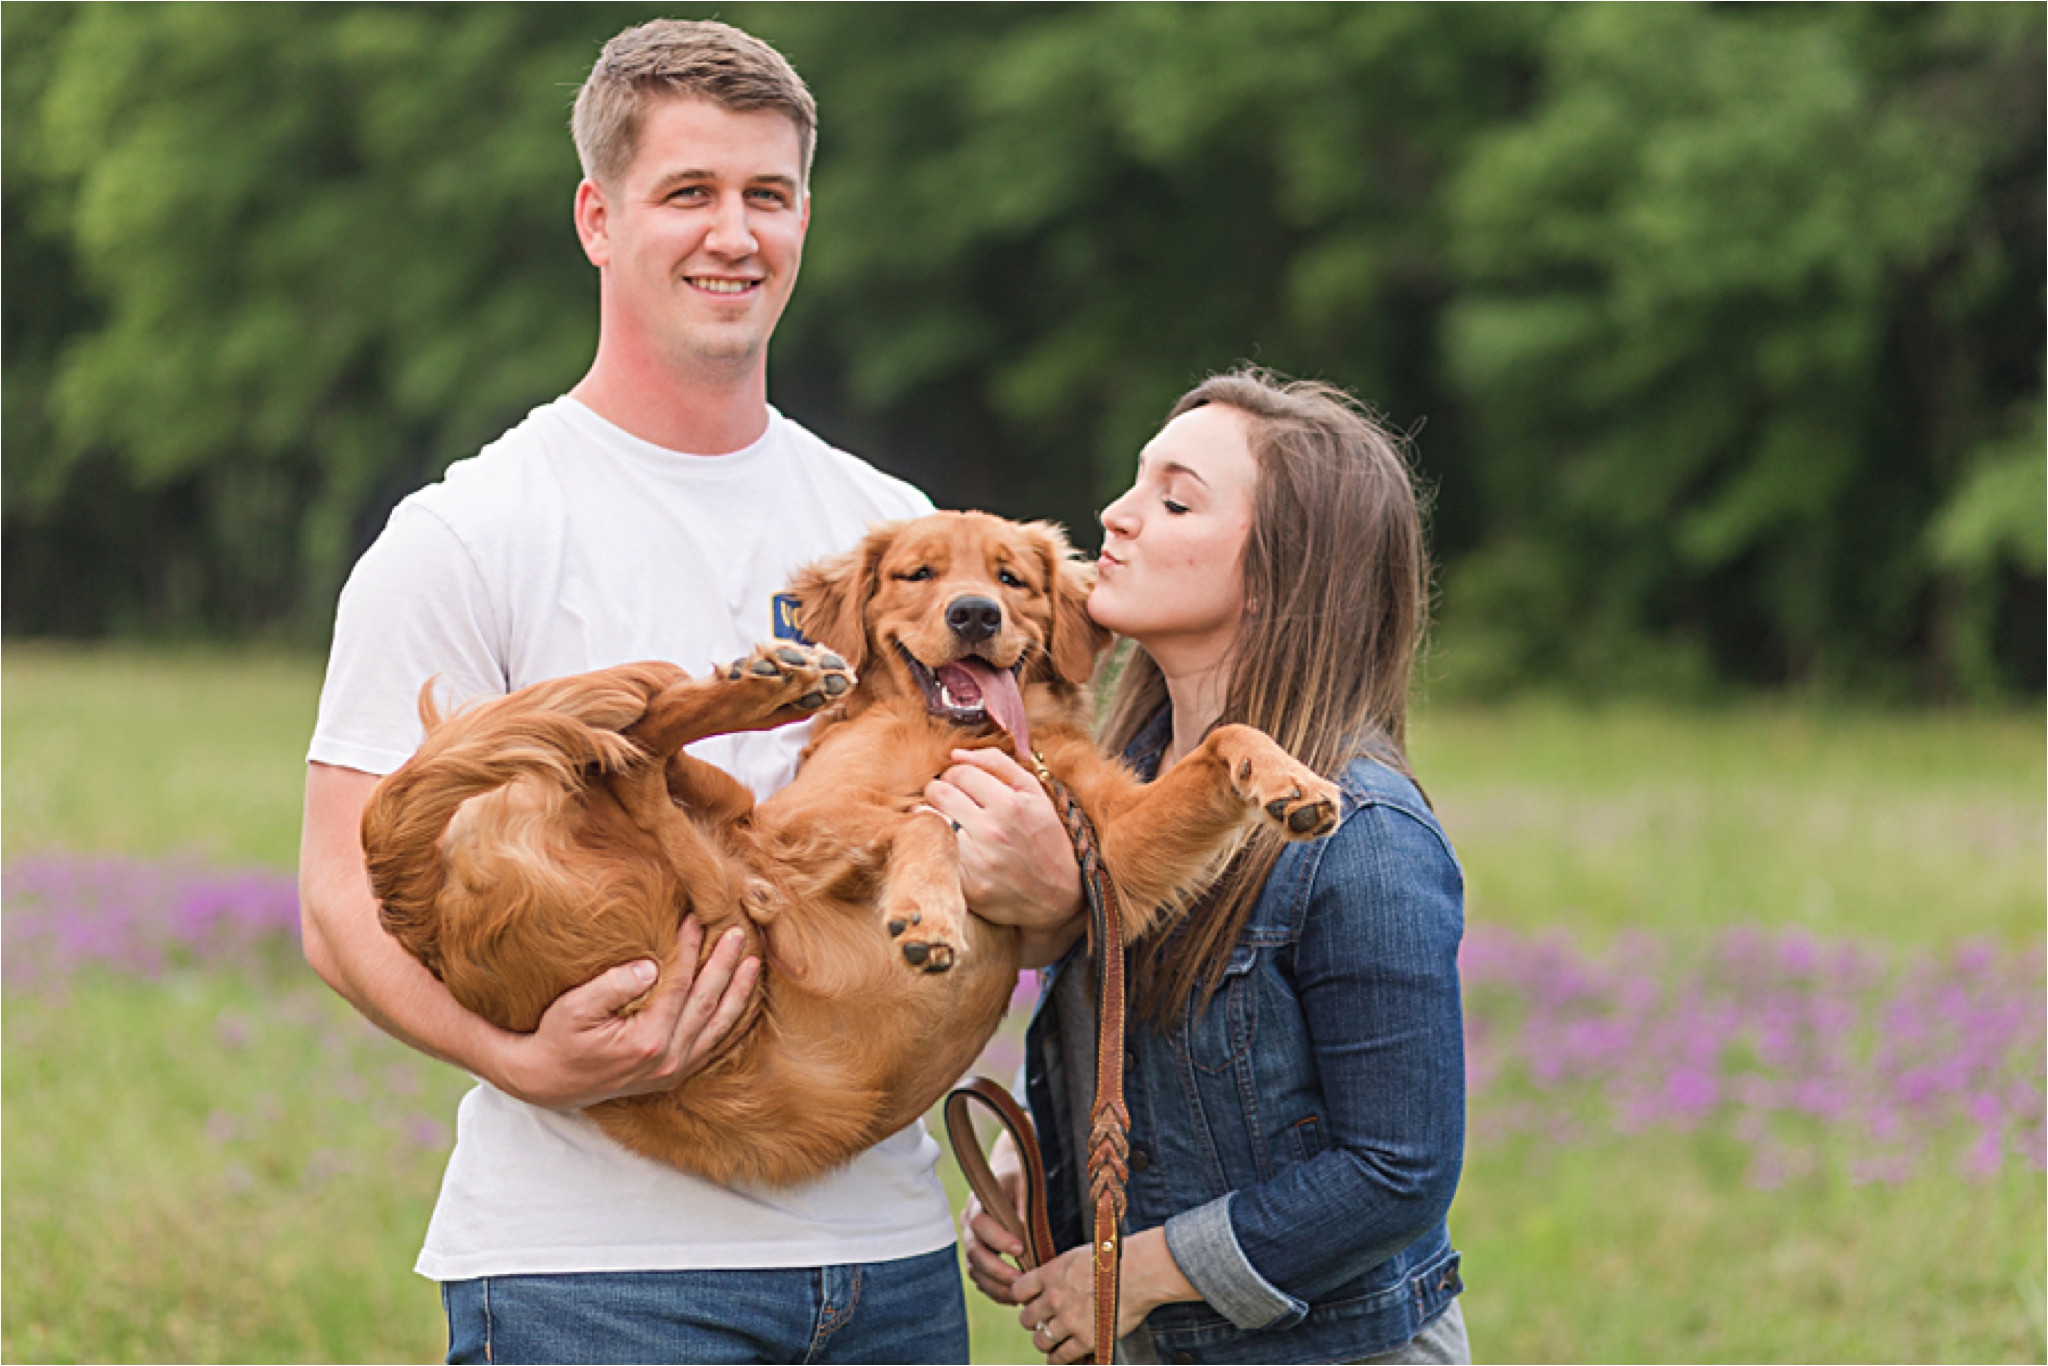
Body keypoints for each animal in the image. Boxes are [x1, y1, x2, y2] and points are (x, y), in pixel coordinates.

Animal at [368, 509, 1343, 1187]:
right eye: (918, 572)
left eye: (1012, 577)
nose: (976, 614)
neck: (962, 733)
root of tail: (426, 922)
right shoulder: (802, 824)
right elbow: (924, 820)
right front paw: (929, 912)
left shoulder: (1108, 854)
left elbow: (1226, 737)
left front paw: (1292, 781)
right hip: (721, 885)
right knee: (637, 752)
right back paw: (770, 683)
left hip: (711, 841)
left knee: (632, 753)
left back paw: (770, 681)